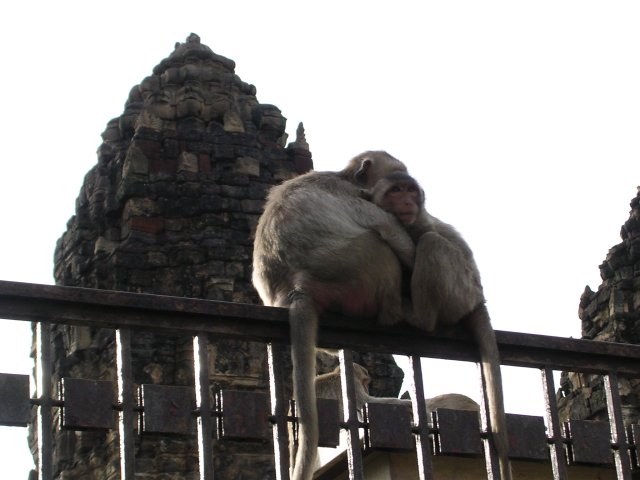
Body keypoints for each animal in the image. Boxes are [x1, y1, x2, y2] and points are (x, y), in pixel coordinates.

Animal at [252, 151, 418, 480]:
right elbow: (392, 233)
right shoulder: (358, 198)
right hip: (356, 269)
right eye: (395, 185)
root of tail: (297, 290)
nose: (407, 197)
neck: (343, 177)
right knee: (379, 246)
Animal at [362, 172, 512, 480]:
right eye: (396, 190)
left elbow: (418, 244)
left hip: (457, 290)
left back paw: (420, 316)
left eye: (409, 191)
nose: (408, 201)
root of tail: (478, 298)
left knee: (432, 242)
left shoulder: (418, 224)